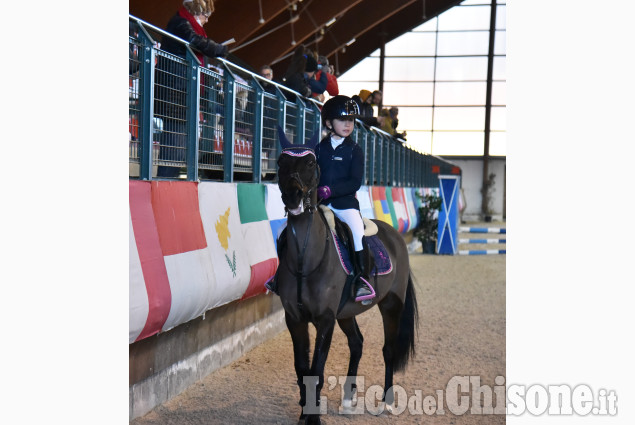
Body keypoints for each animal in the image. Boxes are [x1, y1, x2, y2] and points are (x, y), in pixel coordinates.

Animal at [276, 131, 420, 422]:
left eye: (311, 162)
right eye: (280, 162)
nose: (293, 197)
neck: (306, 258)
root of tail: (395, 235)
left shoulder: (325, 320)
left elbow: (317, 372)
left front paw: (313, 417)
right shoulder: (295, 318)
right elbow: (302, 369)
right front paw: (305, 409)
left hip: (391, 305)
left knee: (388, 350)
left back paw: (387, 402)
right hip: (346, 312)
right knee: (357, 343)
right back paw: (348, 397)